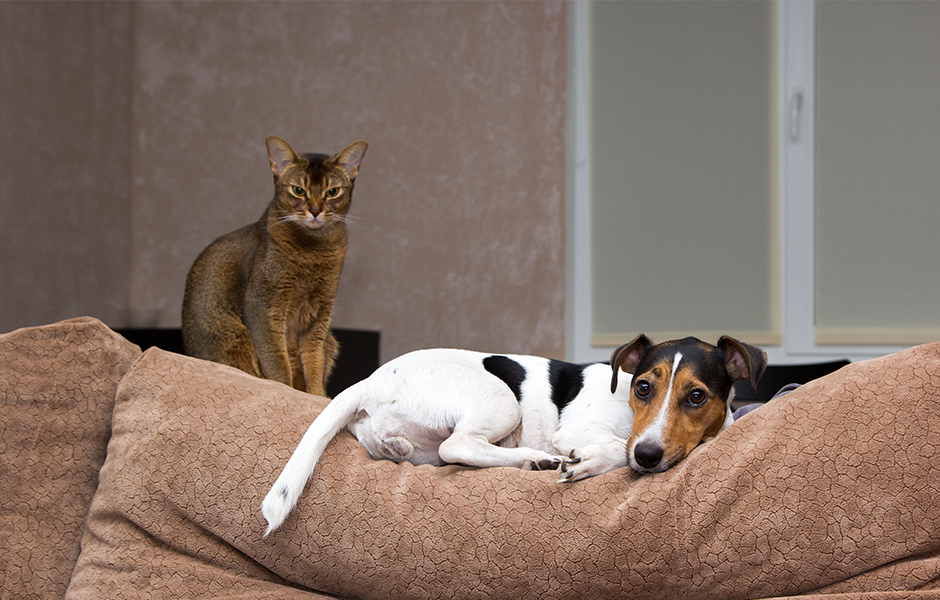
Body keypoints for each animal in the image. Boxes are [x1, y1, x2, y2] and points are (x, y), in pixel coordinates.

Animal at [180, 138, 368, 396]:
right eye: (298, 190)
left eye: (332, 192)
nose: (315, 210)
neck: (314, 251)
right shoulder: (263, 307)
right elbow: (278, 362)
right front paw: (286, 392)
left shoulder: (320, 312)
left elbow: (315, 361)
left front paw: (318, 396)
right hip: (236, 335)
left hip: (330, 340)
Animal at [260, 332, 768, 536]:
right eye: (644, 387)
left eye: (697, 396)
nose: (647, 454)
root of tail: (372, 380)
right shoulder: (583, 430)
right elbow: (611, 448)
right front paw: (587, 461)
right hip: (500, 397)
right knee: (459, 445)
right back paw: (535, 460)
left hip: (417, 442)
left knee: (434, 450)